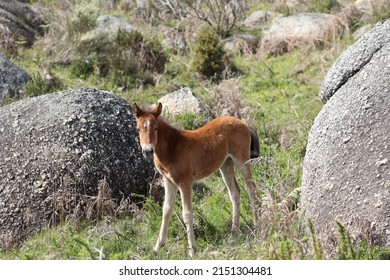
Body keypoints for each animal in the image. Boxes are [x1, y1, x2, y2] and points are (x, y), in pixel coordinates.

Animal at [133, 102, 260, 256]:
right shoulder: (168, 181)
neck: (172, 148)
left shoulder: (185, 182)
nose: (147, 151)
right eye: (138, 128)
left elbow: (187, 214)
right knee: (235, 193)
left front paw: (192, 250)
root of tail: (244, 123)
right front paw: (157, 247)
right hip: (226, 165)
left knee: (251, 190)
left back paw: (256, 226)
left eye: (156, 127)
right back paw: (234, 231)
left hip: (242, 160)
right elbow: (166, 210)